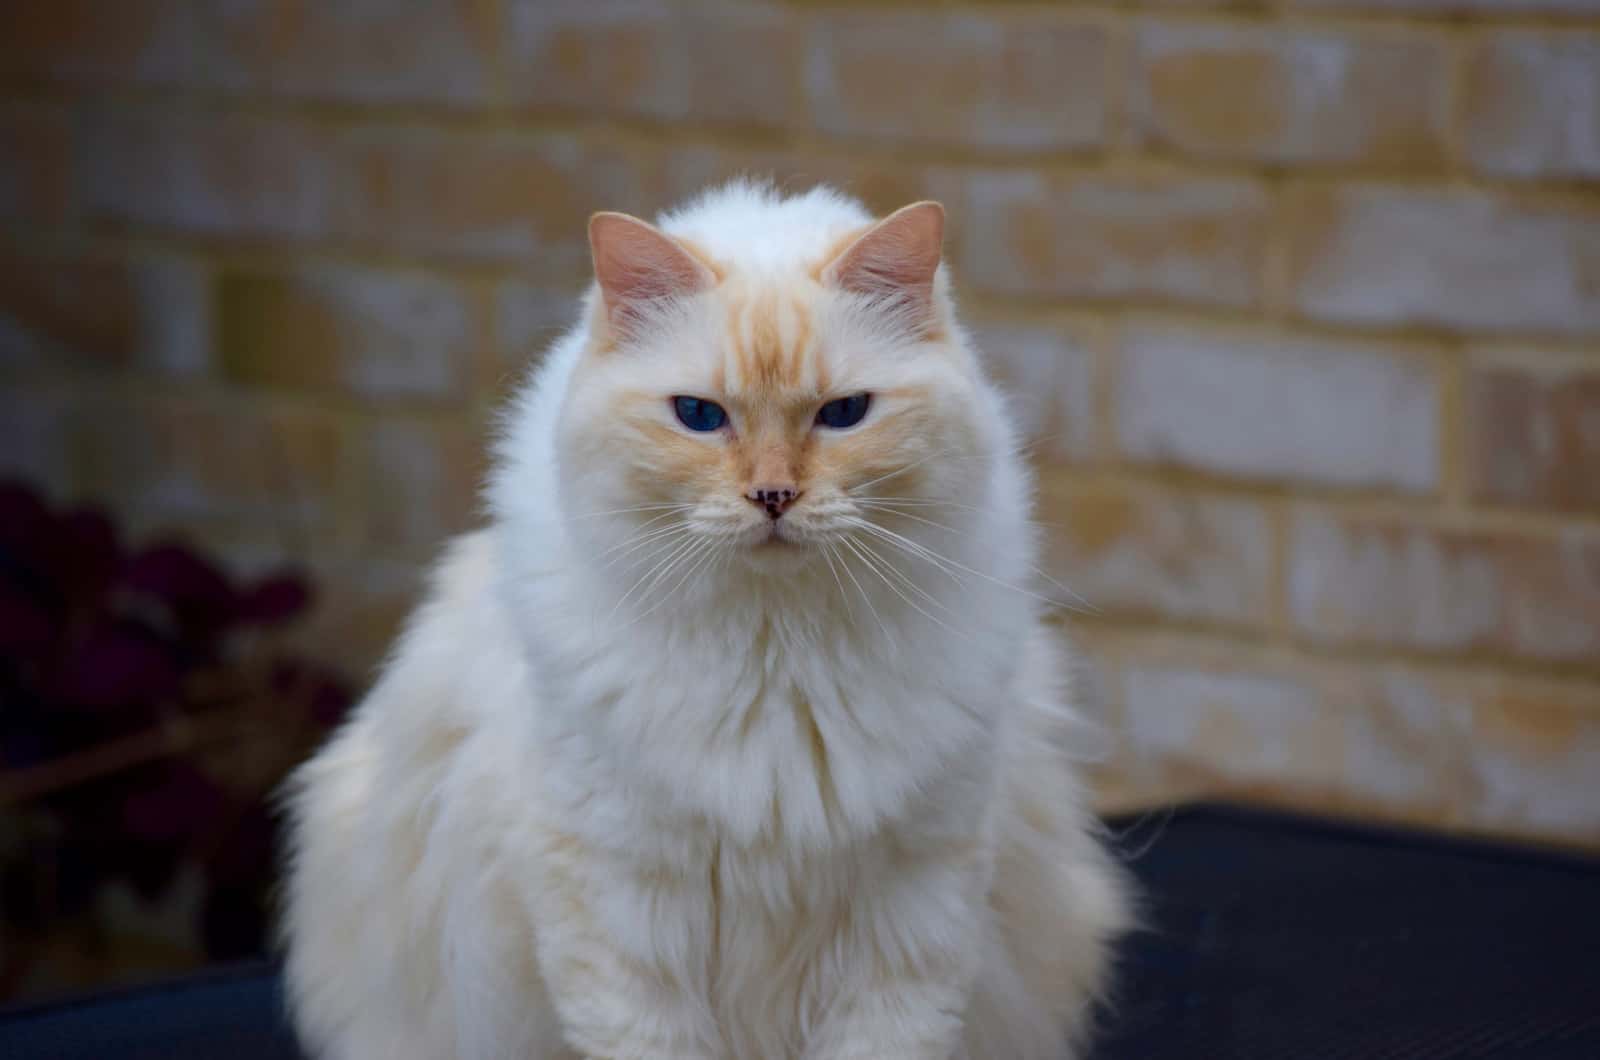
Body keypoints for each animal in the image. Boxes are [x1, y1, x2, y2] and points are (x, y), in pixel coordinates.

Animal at [281, 182, 1132, 1060]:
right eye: (698, 415)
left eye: (844, 414)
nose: (773, 497)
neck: (779, 651)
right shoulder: (620, 913)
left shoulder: (912, 910)